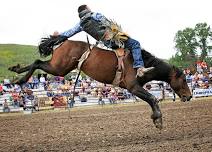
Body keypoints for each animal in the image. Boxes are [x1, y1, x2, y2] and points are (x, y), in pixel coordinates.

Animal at [8, 38, 192, 129]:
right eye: (183, 79)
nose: (189, 96)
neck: (143, 64)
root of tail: (64, 42)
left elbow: (152, 99)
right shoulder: (133, 87)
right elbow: (152, 99)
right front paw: (157, 120)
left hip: (58, 66)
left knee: (38, 62)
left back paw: (16, 71)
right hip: (59, 68)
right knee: (38, 63)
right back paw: (21, 79)